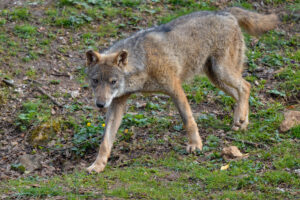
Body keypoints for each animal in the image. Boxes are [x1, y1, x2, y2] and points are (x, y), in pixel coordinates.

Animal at [84, 6, 278, 172]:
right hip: (216, 78)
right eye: (95, 81)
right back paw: (241, 122)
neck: (143, 62)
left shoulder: (175, 88)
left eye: (113, 81)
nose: (100, 104)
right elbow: (105, 140)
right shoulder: (117, 102)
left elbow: (188, 119)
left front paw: (195, 145)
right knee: (240, 92)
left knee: (246, 86)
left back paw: (241, 119)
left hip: (222, 72)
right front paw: (98, 165)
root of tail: (224, 12)